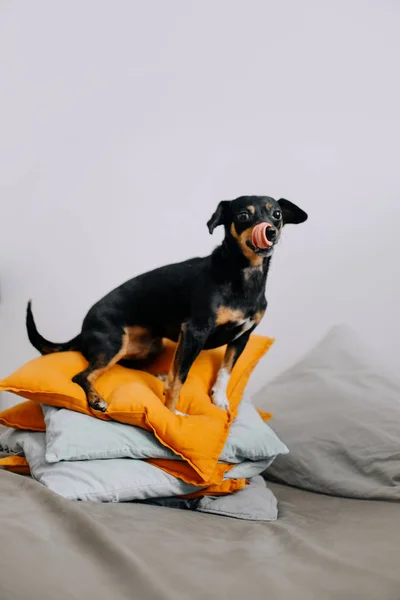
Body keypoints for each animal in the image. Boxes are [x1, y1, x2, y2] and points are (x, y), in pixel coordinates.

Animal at [25, 197, 306, 412]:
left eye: (277, 215)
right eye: (244, 215)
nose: (270, 231)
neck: (245, 276)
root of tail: (82, 329)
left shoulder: (243, 336)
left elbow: (226, 371)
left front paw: (219, 398)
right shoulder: (194, 332)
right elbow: (178, 381)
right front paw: (171, 415)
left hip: (150, 347)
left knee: (128, 366)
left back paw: (156, 375)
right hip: (113, 344)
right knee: (82, 375)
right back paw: (97, 399)